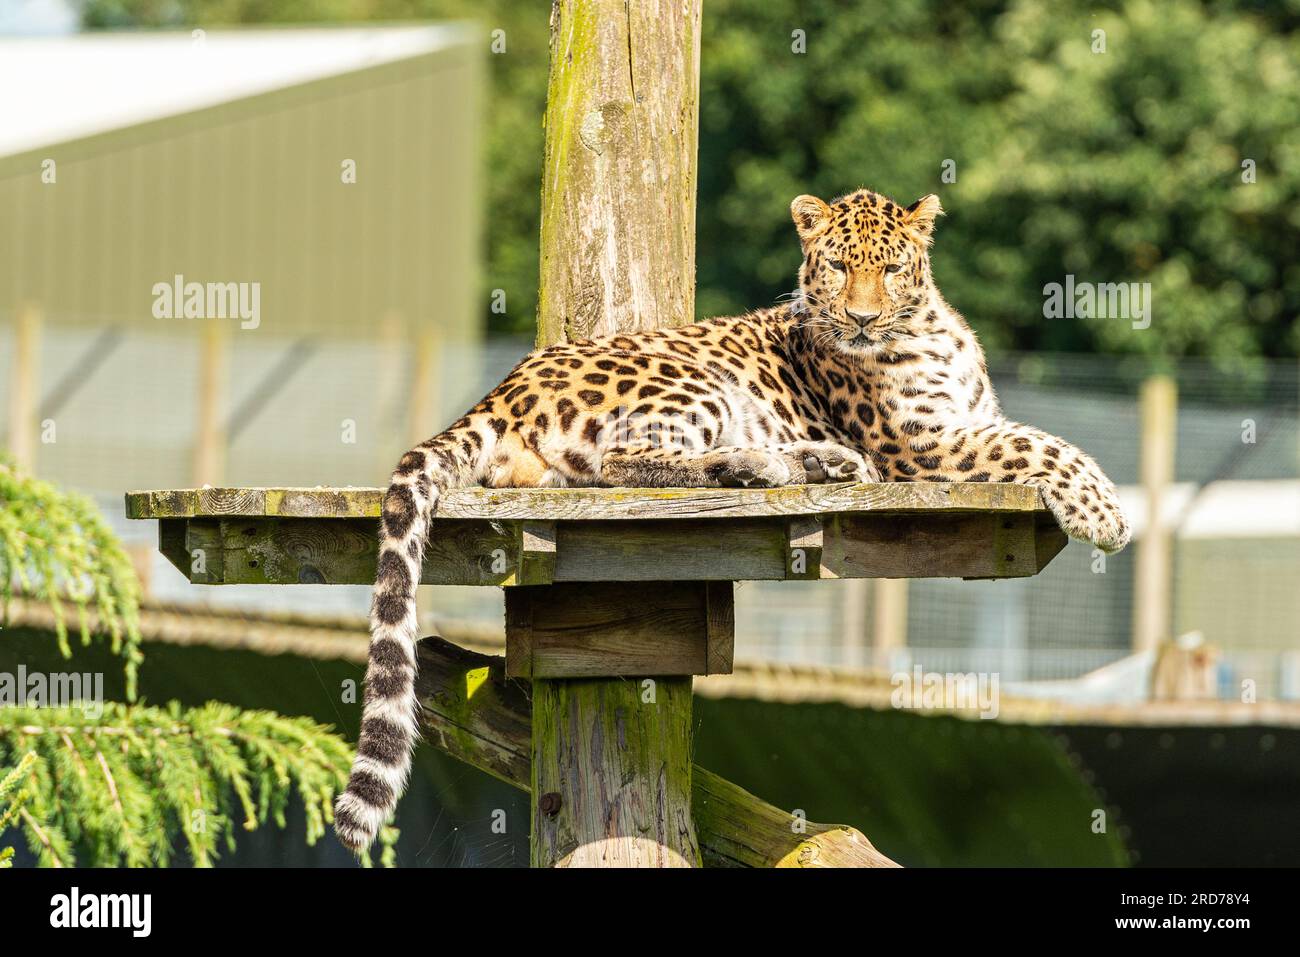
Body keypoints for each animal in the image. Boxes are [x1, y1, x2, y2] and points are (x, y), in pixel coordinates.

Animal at [334, 187, 1131, 852]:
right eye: (838, 267)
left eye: (892, 267)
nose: (863, 318)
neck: (931, 330)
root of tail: (499, 391)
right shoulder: (926, 446)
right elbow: (1041, 444)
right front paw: (1107, 513)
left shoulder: (965, 422)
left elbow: (1035, 435)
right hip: (692, 382)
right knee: (627, 460)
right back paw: (767, 468)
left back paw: (820, 462)